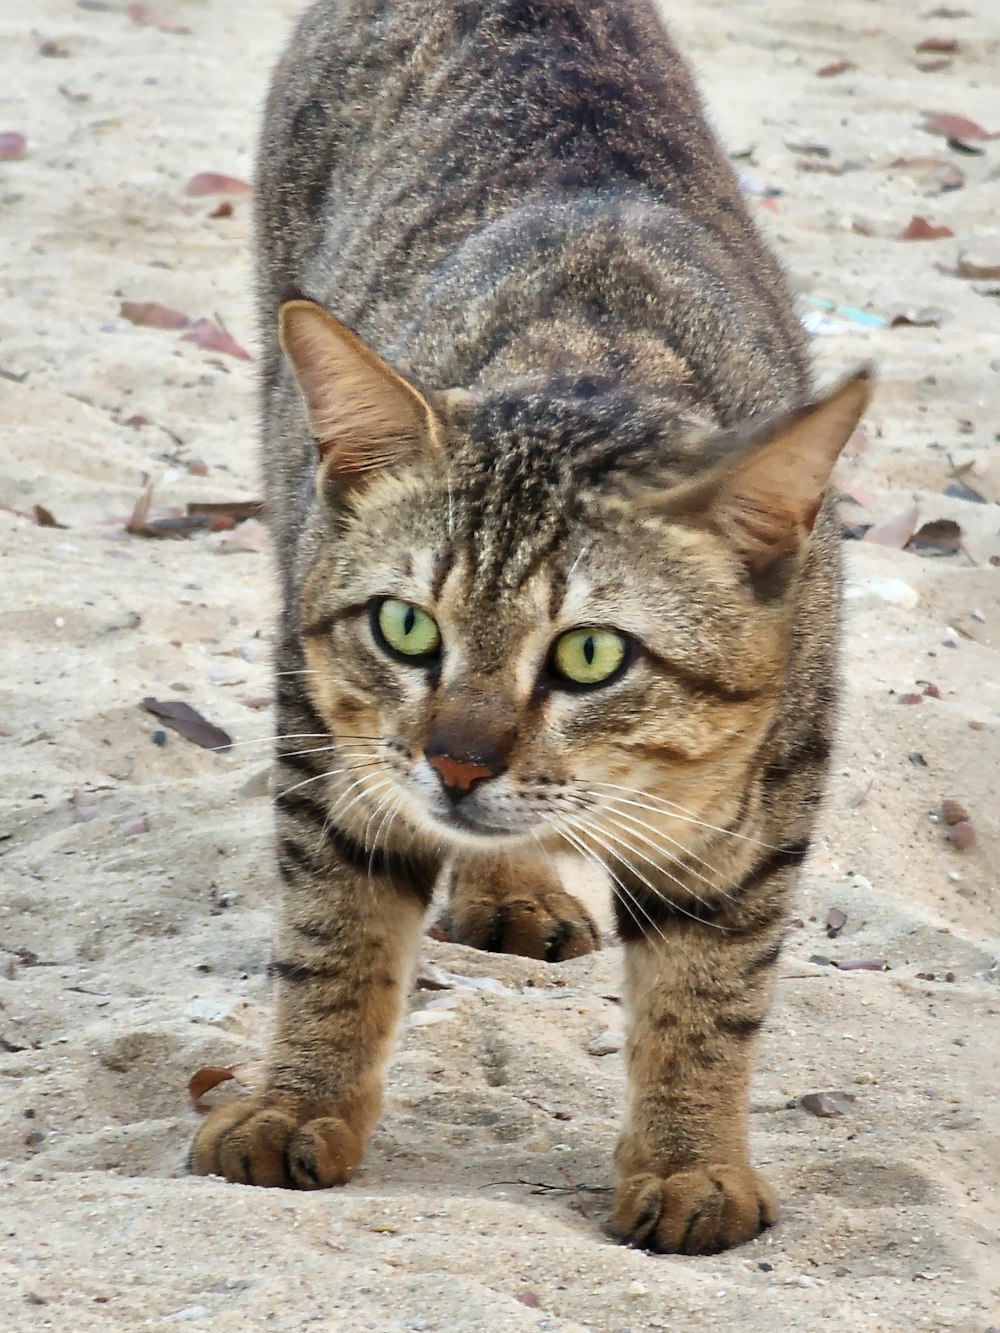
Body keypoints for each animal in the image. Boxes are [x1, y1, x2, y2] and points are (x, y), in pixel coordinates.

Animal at [189, 0, 874, 1253]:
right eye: (406, 629)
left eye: (590, 655)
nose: (458, 762)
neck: (586, 355)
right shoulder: (322, 717)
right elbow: (334, 930)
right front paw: (298, 1100)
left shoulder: (774, 789)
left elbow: (711, 992)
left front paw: (691, 1160)